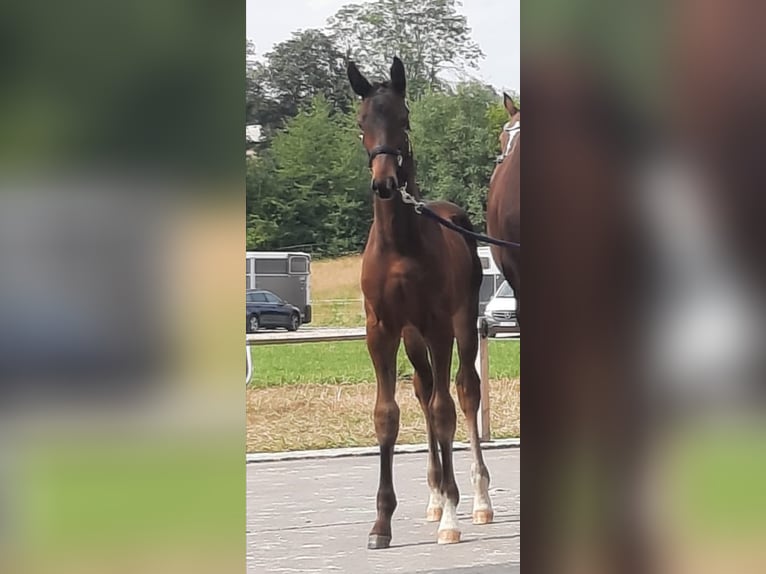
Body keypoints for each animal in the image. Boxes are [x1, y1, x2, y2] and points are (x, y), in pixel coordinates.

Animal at [346, 57, 496, 548]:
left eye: (404, 118)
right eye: (362, 122)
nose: (385, 184)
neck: (400, 246)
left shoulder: (437, 325)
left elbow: (446, 410)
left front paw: (452, 516)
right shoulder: (382, 330)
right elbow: (387, 415)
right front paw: (381, 523)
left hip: (461, 326)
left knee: (463, 392)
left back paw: (476, 499)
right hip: (412, 340)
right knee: (425, 390)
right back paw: (434, 495)